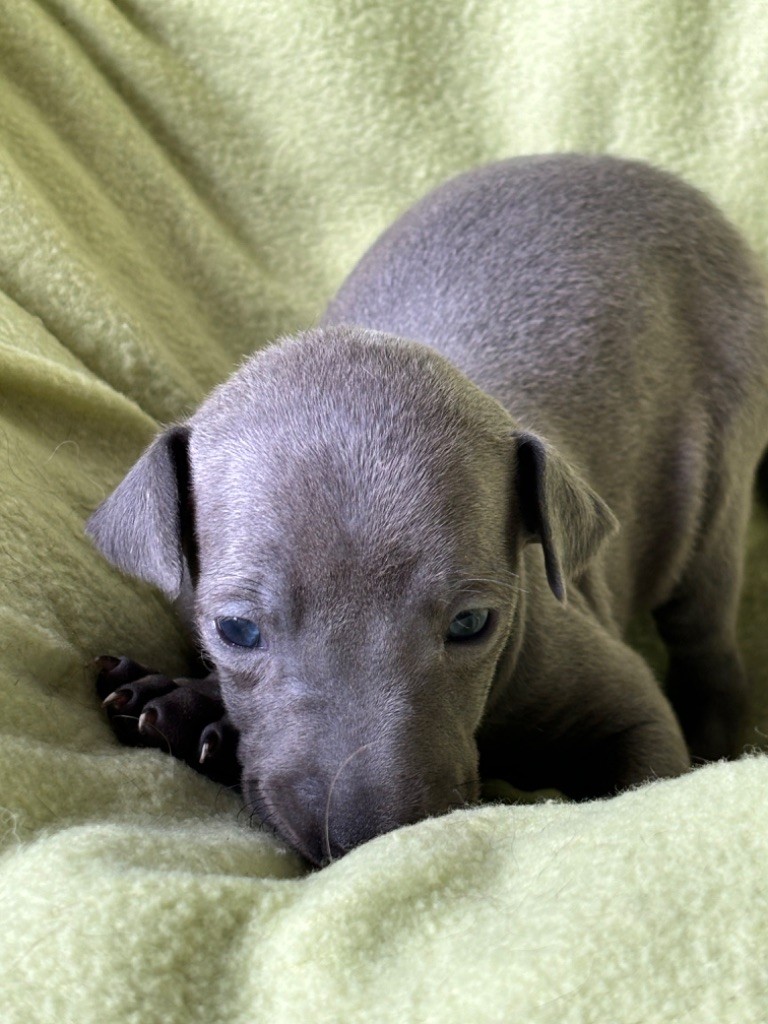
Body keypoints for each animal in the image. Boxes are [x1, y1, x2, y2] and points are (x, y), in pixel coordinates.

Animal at [88, 154, 768, 867]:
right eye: (236, 630)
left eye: (472, 623)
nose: (364, 834)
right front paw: (187, 704)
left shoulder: (624, 701)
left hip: (719, 457)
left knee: (706, 629)